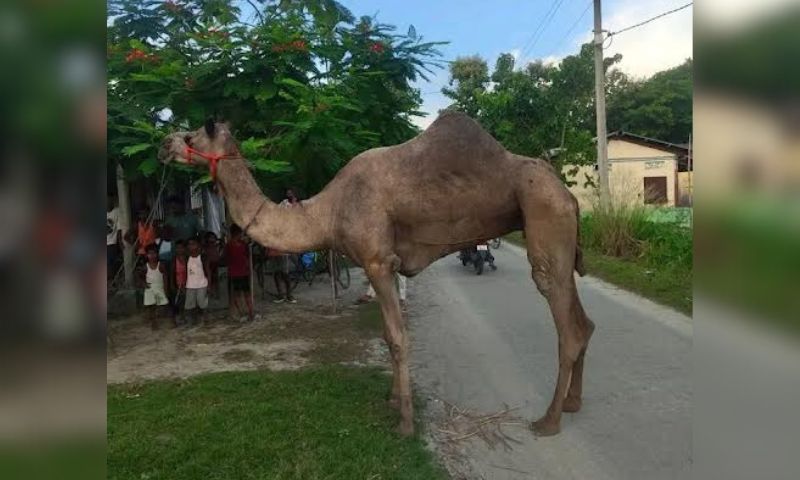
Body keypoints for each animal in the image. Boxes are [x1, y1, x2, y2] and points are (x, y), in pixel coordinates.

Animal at [158, 112, 595, 437]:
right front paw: (392, 400)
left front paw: (405, 423)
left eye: (192, 133)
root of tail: (567, 192)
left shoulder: (379, 261)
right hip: (555, 223)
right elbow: (387, 336)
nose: (164, 144)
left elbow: (398, 338)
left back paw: (548, 420)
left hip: (542, 210)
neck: (328, 210)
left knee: (564, 319)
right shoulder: (376, 265)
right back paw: (573, 403)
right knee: (584, 322)